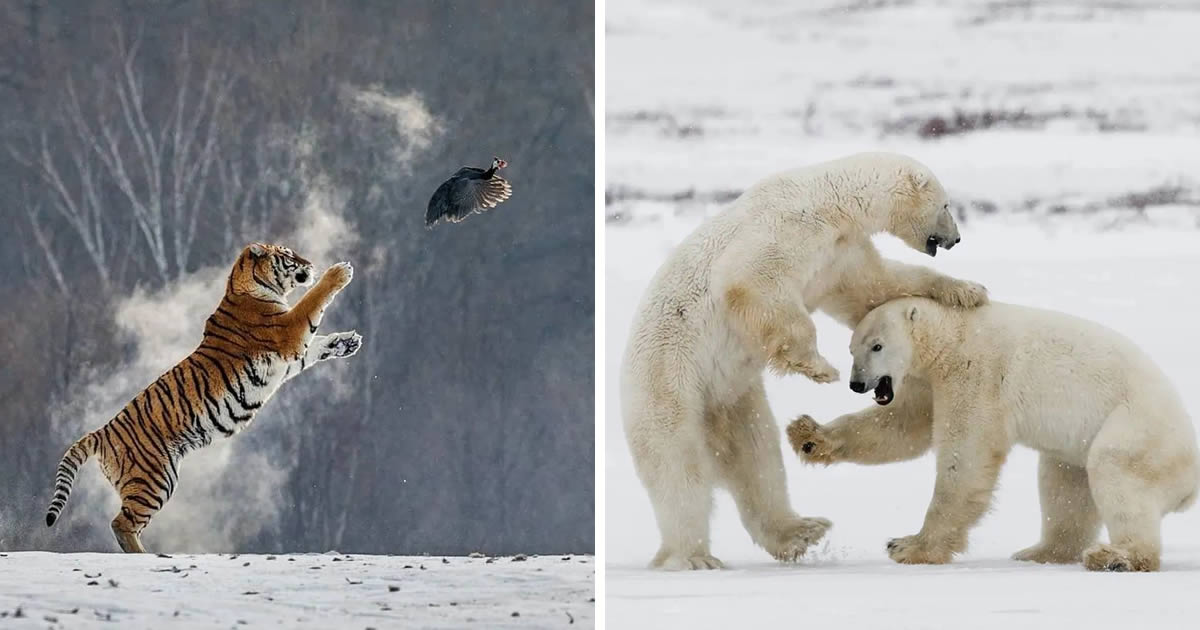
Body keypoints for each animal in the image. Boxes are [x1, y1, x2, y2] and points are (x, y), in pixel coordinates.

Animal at [44, 241, 360, 549]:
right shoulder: (289, 331)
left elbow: (318, 345)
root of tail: (102, 432)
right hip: (155, 479)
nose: (311, 264)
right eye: (288, 256)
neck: (246, 285)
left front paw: (346, 343)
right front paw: (339, 271)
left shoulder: (290, 357)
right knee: (121, 524)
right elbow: (312, 301)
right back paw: (150, 556)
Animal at [624, 152, 988, 568]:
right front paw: (818, 367)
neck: (829, 201)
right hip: (669, 382)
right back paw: (693, 556)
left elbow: (875, 287)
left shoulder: (839, 253)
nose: (956, 238)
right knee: (679, 467)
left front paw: (967, 290)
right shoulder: (786, 228)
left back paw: (800, 531)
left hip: (732, 397)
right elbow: (752, 281)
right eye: (945, 205)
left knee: (756, 453)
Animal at [787, 295, 1200, 568]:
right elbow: (904, 427)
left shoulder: (976, 372)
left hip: (1136, 430)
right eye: (851, 348)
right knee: (1064, 485)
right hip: (1080, 446)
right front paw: (806, 435)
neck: (953, 332)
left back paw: (1117, 557)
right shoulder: (929, 381)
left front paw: (909, 546)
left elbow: (965, 454)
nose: (857, 383)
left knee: (1115, 474)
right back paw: (1040, 552)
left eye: (877, 346)